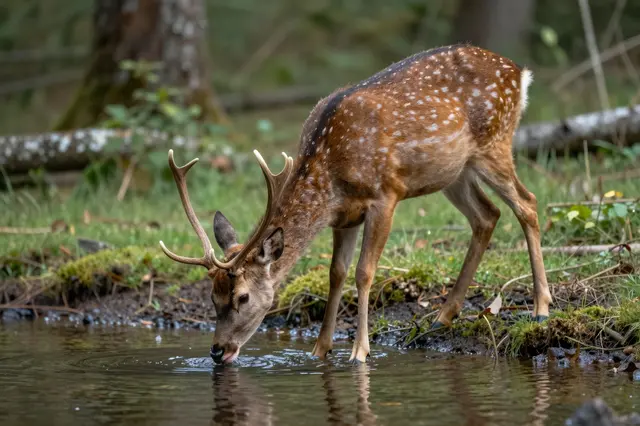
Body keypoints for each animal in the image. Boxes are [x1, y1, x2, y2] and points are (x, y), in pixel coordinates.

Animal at [159, 43, 553, 364]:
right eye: (212, 297)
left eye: (242, 297)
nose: (217, 351)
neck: (330, 171)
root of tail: (519, 72)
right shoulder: (343, 216)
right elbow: (336, 274)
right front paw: (320, 350)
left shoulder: (386, 194)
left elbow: (364, 272)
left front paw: (359, 352)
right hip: (454, 172)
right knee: (487, 215)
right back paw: (442, 316)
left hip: (494, 144)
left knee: (528, 203)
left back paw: (541, 307)